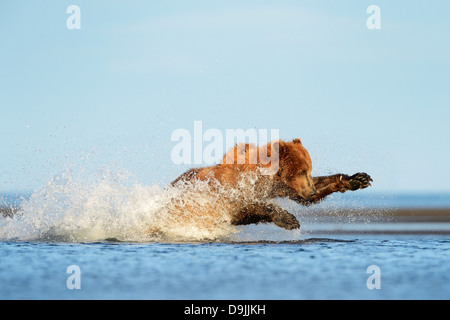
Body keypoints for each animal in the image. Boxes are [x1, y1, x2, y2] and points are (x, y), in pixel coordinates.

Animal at [171, 139, 370, 231]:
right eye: (302, 171)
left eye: (309, 170)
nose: (312, 192)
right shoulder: (232, 190)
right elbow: (248, 204)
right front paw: (290, 220)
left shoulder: (282, 188)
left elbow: (301, 197)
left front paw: (357, 179)